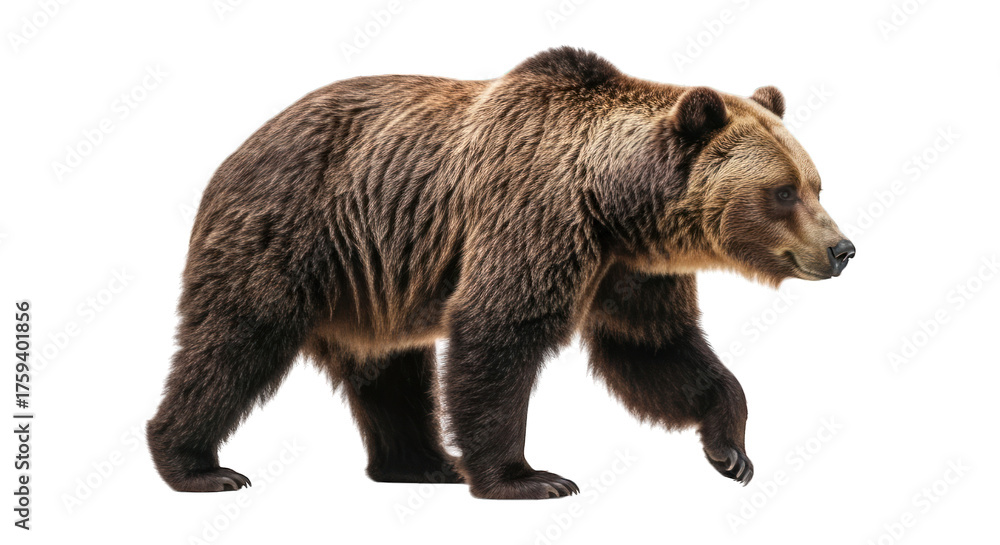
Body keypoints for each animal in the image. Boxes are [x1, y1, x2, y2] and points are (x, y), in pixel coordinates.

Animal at [147, 47, 855, 499]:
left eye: (815, 183)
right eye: (783, 192)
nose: (843, 248)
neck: (614, 205)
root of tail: (235, 150)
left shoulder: (630, 271)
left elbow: (655, 350)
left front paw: (731, 450)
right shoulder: (534, 218)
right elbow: (500, 331)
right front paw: (528, 477)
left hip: (373, 280)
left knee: (391, 370)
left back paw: (424, 464)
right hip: (291, 236)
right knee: (234, 342)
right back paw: (197, 465)